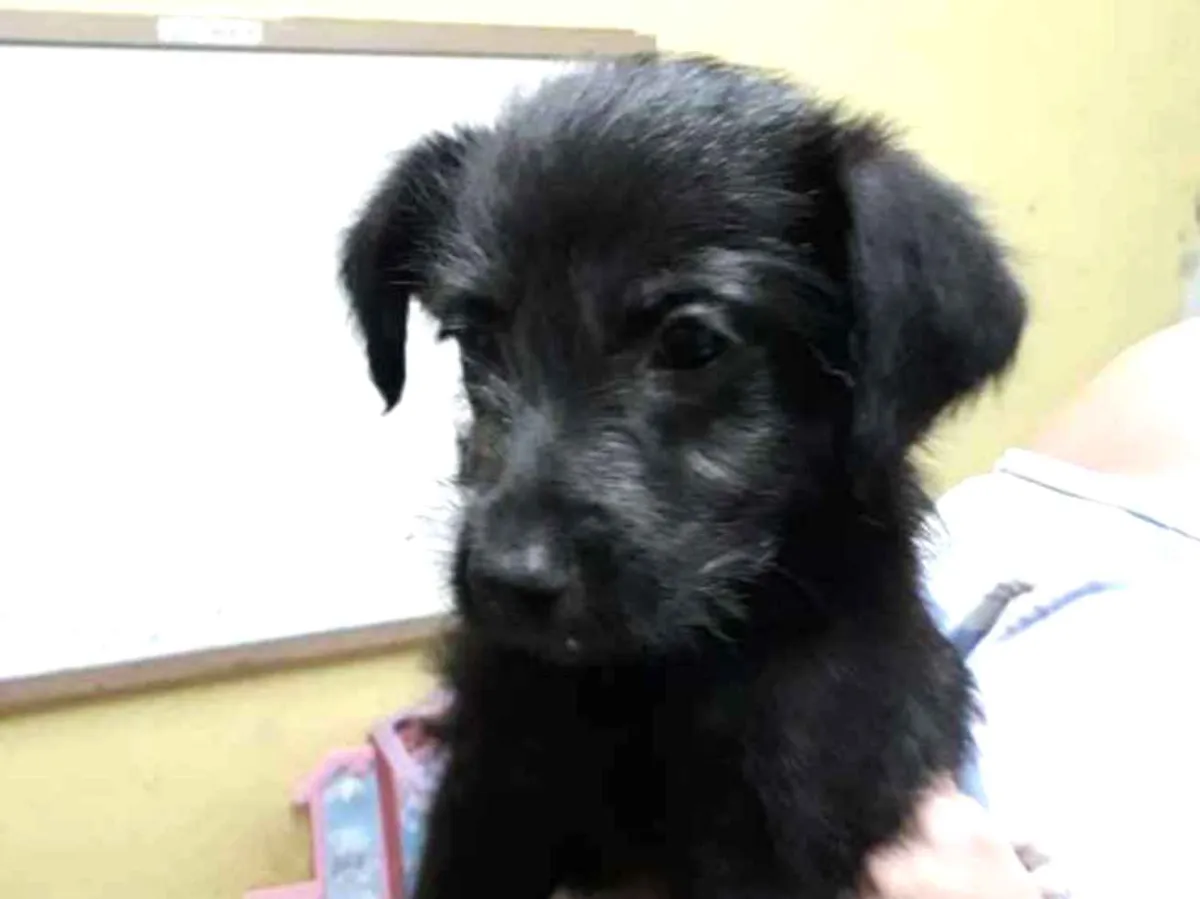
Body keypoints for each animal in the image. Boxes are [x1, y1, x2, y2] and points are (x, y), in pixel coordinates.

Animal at [340, 54, 1026, 899]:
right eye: (474, 338)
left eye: (692, 342)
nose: (506, 580)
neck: (652, 677)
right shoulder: (492, 772)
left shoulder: (790, 812)